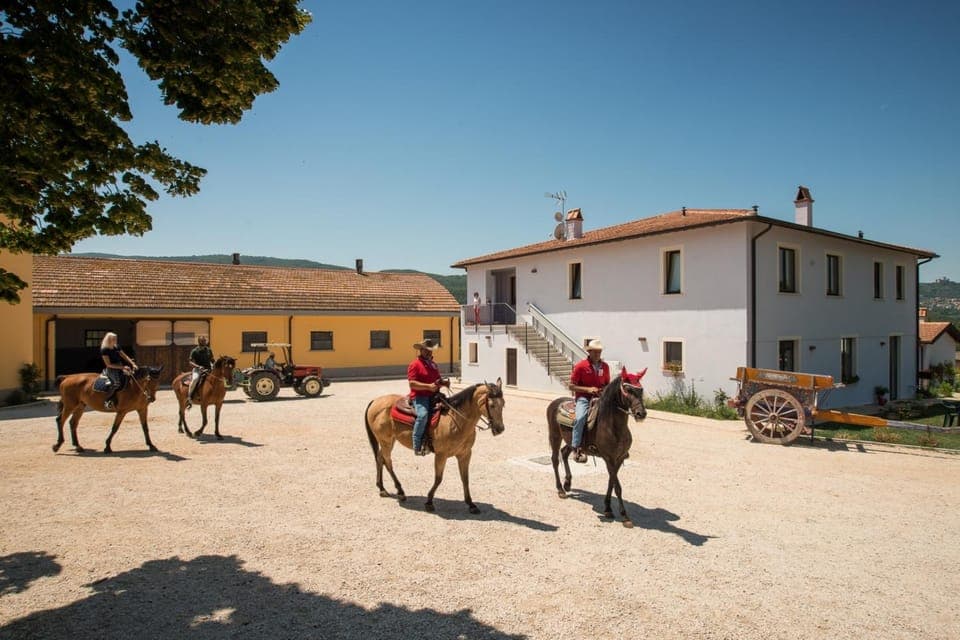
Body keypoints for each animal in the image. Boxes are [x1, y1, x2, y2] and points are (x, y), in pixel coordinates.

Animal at [364, 380, 505, 513]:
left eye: (503, 404)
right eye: (492, 405)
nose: (500, 429)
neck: (456, 420)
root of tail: (375, 401)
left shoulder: (465, 454)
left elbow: (465, 478)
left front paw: (471, 504)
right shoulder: (441, 455)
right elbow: (438, 479)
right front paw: (429, 502)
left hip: (389, 441)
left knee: (380, 458)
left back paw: (382, 488)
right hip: (385, 441)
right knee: (387, 462)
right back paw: (400, 491)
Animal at [546, 367, 647, 526]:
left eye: (641, 389)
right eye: (628, 389)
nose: (641, 413)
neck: (613, 426)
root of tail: (555, 402)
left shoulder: (619, 458)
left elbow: (611, 482)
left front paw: (607, 508)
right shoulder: (608, 458)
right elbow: (617, 486)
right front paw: (624, 516)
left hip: (571, 440)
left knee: (564, 453)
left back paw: (568, 483)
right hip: (555, 436)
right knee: (555, 460)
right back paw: (561, 489)